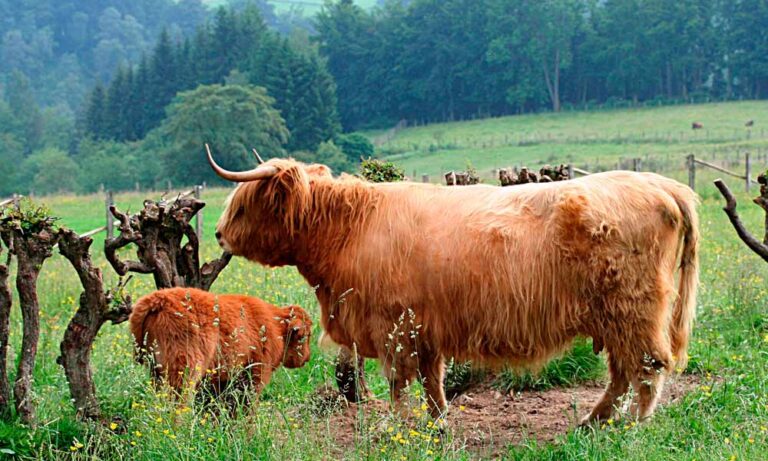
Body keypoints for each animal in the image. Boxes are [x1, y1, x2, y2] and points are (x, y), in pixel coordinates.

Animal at [129, 287, 312, 396]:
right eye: (306, 336)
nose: (307, 358)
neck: (275, 325)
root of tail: (160, 299)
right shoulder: (254, 376)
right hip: (185, 370)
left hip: (156, 371)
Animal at [207, 149, 698, 425]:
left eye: (244, 203)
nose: (217, 233)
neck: (350, 228)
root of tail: (662, 185)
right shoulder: (424, 327)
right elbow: (431, 379)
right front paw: (438, 422)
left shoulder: (393, 325)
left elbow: (400, 381)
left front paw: (396, 426)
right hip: (615, 318)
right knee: (623, 372)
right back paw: (594, 422)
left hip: (632, 310)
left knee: (646, 368)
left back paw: (628, 425)